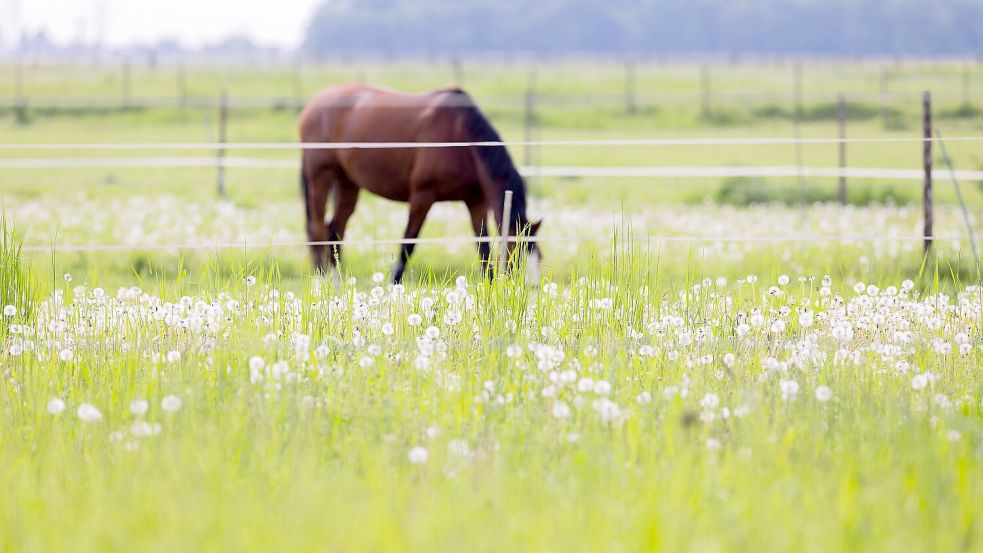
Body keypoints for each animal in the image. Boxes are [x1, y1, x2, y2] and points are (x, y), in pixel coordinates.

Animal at [298, 84, 541, 284]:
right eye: (516, 254)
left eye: (539, 256)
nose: (529, 288)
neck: (460, 136)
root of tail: (314, 104)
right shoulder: (422, 197)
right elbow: (408, 244)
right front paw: (394, 285)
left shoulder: (475, 202)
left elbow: (483, 247)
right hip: (320, 176)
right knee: (317, 228)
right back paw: (321, 279)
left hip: (348, 183)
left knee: (335, 230)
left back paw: (337, 280)